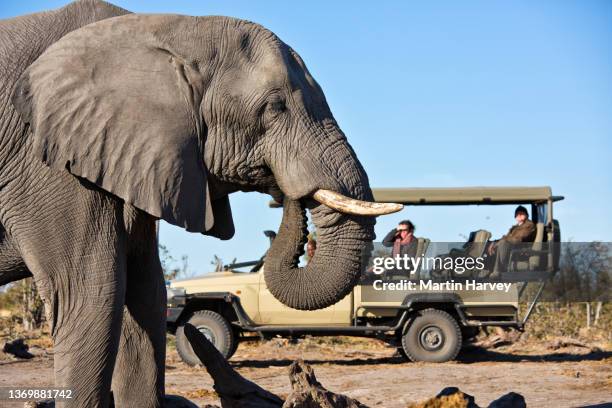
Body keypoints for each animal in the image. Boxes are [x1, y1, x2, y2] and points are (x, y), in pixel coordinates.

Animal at [0, 1, 402, 406]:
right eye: (275, 107)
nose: (286, 193)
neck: (164, 28)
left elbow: (145, 294)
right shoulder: (49, 163)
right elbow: (93, 296)